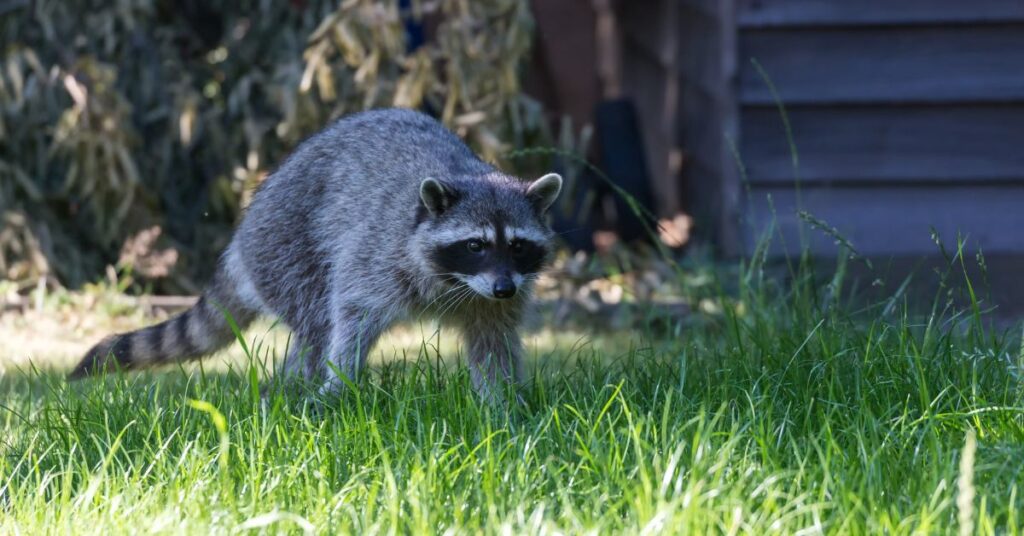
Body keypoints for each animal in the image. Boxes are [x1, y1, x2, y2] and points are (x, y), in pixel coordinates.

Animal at [68, 109, 565, 401]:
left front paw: (502, 406)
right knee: (316, 321)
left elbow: (492, 341)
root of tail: (242, 237)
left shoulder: (495, 296)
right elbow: (352, 316)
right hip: (286, 244)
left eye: (518, 246)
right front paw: (339, 382)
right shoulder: (377, 254)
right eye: (475, 245)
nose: (503, 287)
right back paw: (295, 389)